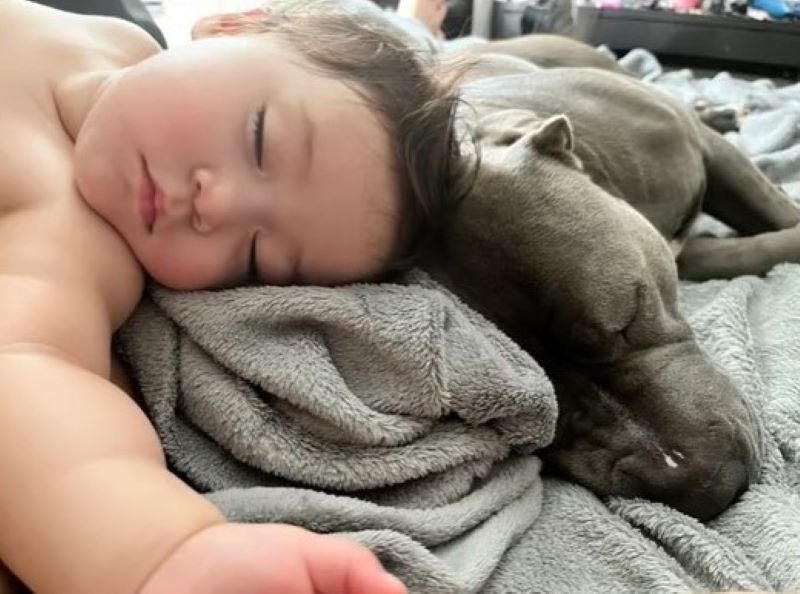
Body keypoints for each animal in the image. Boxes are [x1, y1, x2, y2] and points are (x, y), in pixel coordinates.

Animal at [434, 38, 800, 520]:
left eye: (632, 312)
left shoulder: (707, 150)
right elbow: (746, 250)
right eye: (531, 411)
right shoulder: (685, 250)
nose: (711, 484)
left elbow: (777, 214)